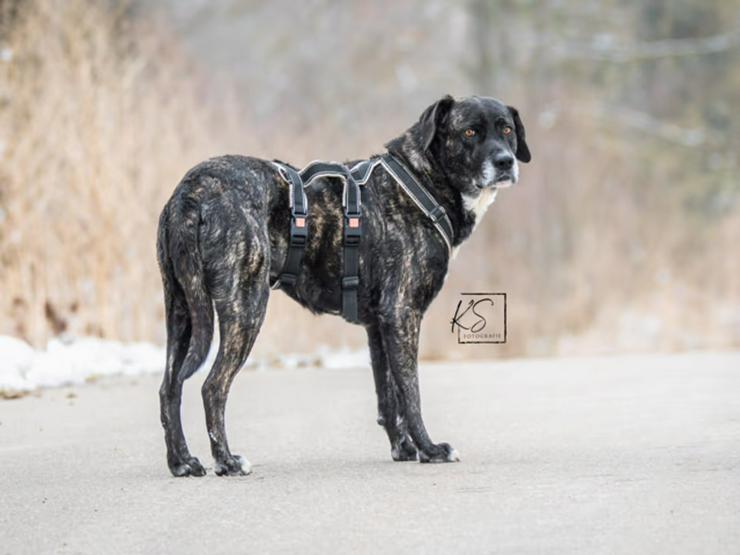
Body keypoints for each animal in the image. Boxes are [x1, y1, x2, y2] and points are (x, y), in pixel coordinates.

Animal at [159, 95, 532, 478]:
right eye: (470, 132)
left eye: (506, 129)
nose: (505, 161)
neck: (423, 181)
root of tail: (193, 189)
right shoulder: (402, 315)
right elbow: (410, 392)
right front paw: (429, 449)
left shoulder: (379, 325)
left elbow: (388, 395)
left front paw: (404, 448)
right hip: (245, 308)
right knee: (212, 386)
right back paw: (227, 461)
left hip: (181, 311)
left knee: (169, 388)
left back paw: (182, 461)